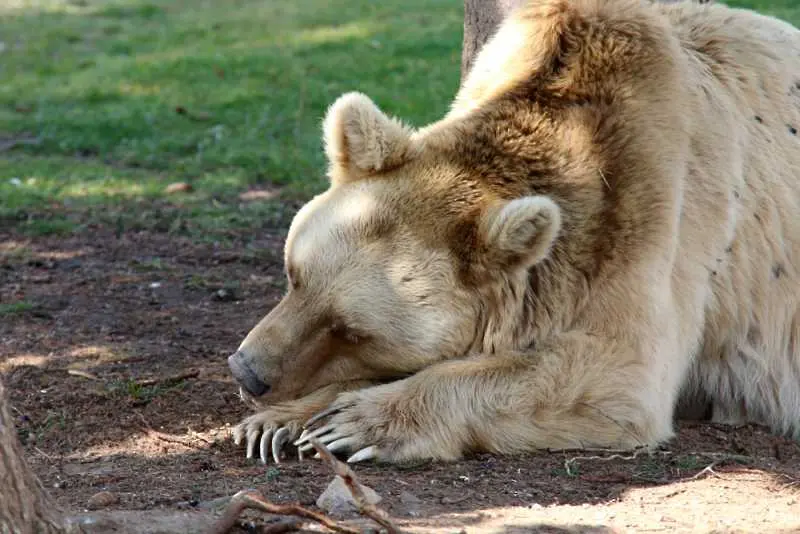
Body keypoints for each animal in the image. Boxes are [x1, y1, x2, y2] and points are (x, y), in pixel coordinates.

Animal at [227, 0, 800, 466]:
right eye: (294, 274)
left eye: (351, 330)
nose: (247, 371)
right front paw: (277, 425)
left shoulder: (652, 211)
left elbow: (613, 371)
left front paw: (356, 422)